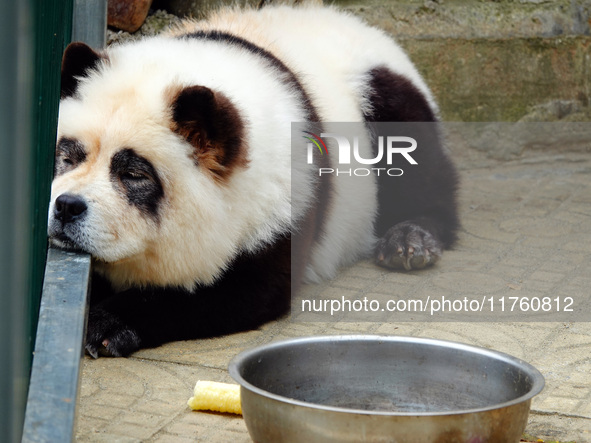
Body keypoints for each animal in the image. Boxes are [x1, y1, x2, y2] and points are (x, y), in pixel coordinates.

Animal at [48, 3, 460, 358]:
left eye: (134, 174)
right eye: (66, 156)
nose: (67, 207)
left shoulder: (284, 200)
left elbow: (240, 289)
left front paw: (107, 324)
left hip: (378, 96)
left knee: (416, 163)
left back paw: (411, 237)